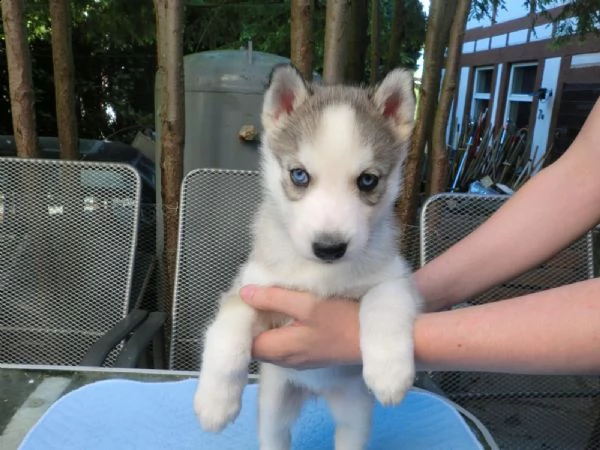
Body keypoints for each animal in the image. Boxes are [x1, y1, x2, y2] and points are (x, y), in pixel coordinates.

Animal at [195, 64, 420, 450]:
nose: (329, 248)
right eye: (299, 175)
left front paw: (390, 370)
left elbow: (383, 299)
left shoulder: (396, 276)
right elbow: (228, 329)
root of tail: (316, 392)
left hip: (354, 414)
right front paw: (214, 403)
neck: (319, 274)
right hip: (274, 406)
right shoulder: (252, 288)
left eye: (367, 180)